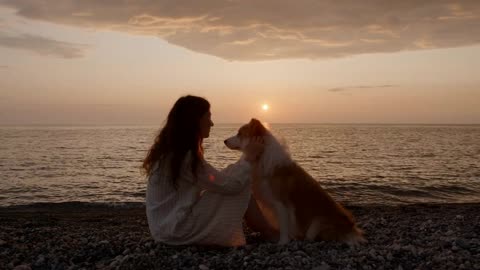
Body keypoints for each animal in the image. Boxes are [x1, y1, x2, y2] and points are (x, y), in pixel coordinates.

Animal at [225, 118, 364, 245]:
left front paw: (283, 242)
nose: (224, 141)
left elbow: (284, 225)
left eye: (239, 133)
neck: (262, 155)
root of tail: (351, 229)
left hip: (317, 223)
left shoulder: (281, 202)